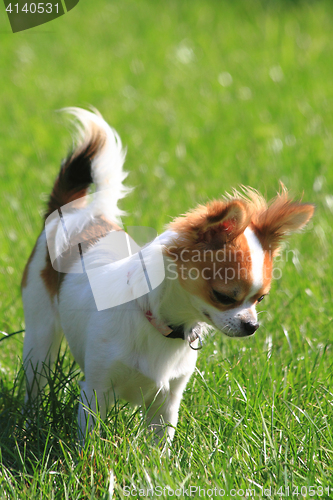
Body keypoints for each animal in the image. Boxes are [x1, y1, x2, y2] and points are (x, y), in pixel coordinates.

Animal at [21, 108, 314, 442]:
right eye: (223, 296)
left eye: (260, 299)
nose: (252, 326)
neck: (161, 323)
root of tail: (73, 211)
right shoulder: (96, 390)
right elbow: (92, 438)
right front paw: (91, 456)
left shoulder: (167, 401)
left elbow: (159, 445)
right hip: (40, 335)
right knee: (35, 380)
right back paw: (30, 421)